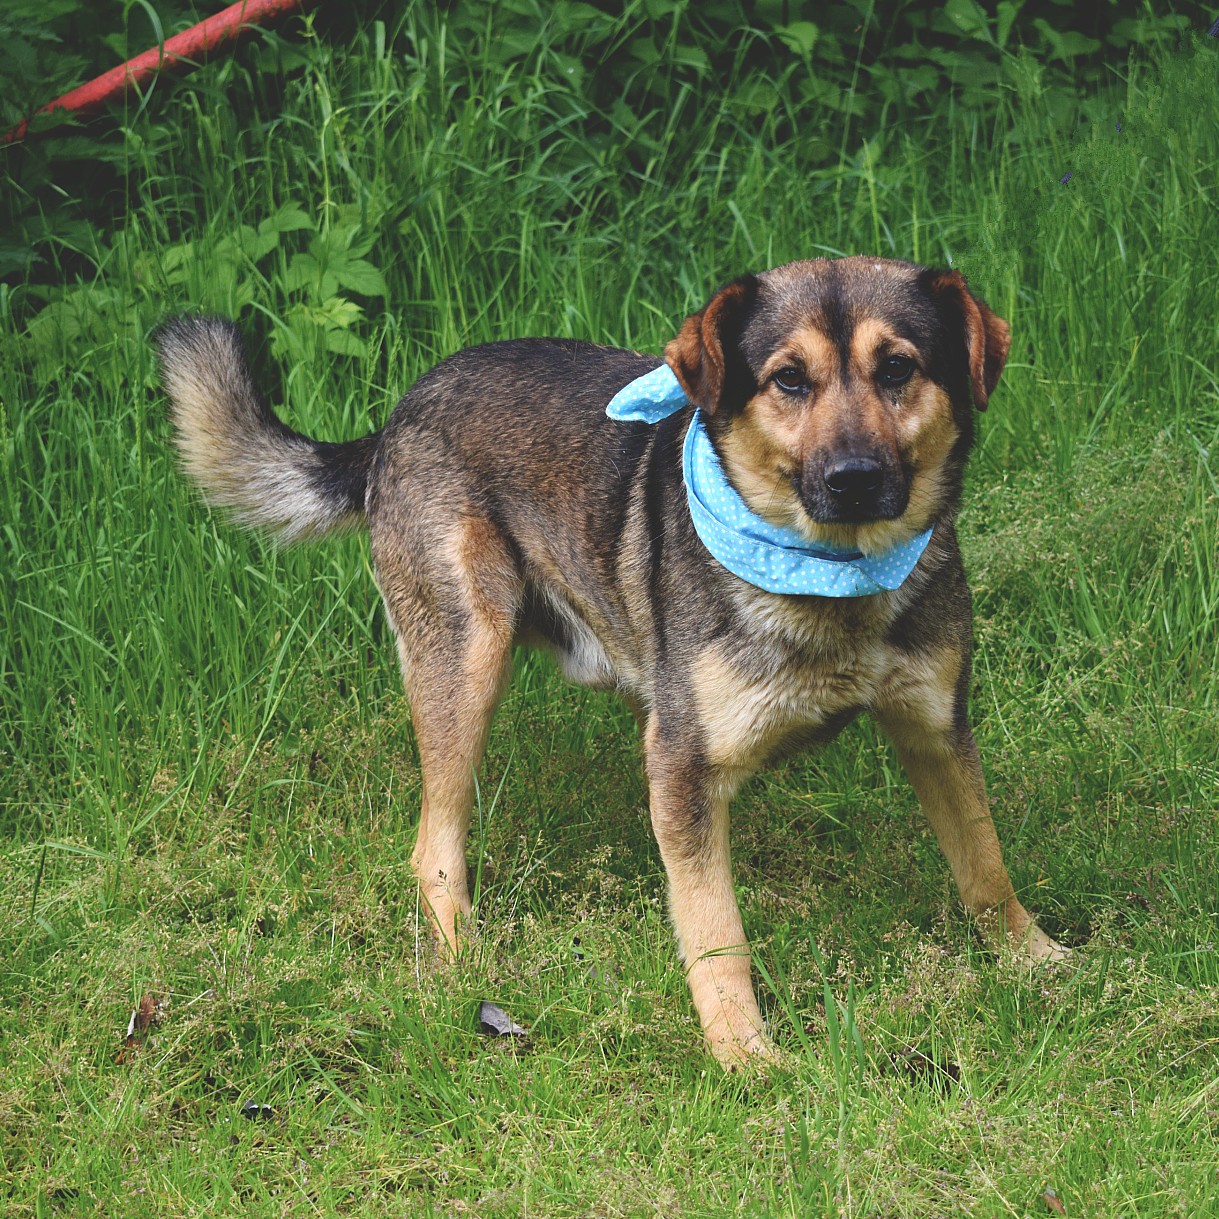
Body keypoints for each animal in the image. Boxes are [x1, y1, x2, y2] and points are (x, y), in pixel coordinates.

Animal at [158, 256, 1068, 1065]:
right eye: (787, 380)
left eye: (898, 368)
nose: (853, 478)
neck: (834, 581)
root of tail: (398, 416)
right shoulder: (685, 762)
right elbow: (717, 932)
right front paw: (743, 1052)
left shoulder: (936, 729)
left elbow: (984, 863)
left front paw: (1035, 960)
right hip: (465, 663)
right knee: (433, 846)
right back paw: (461, 968)